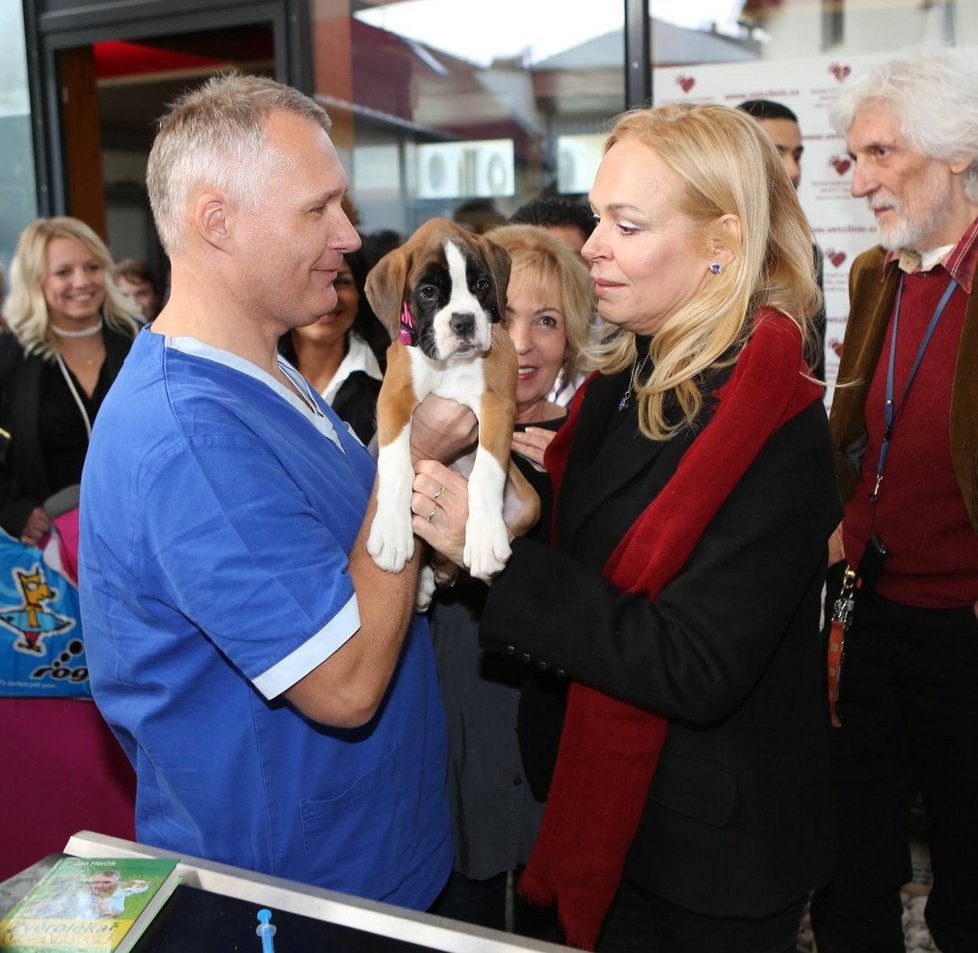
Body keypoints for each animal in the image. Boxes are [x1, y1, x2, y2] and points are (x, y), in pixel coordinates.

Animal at [362, 216, 536, 592]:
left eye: (482, 285)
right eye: (428, 292)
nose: (464, 321)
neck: (450, 366)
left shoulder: (497, 403)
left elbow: (487, 470)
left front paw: (484, 538)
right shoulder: (394, 397)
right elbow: (396, 463)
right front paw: (392, 531)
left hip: (529, 503)